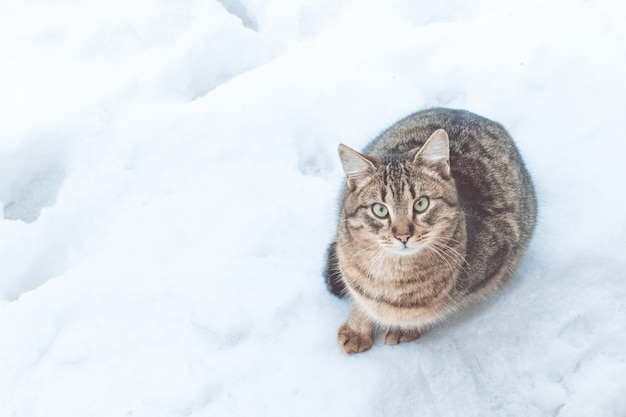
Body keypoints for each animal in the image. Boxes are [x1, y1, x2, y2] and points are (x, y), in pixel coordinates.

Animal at [324, 108, 532, 354]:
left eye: (421, 204)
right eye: (380, 210)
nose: (403, 235)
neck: (393, 275)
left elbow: (418, 313)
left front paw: (402, 328)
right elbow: (360, 297)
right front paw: (357, 328)